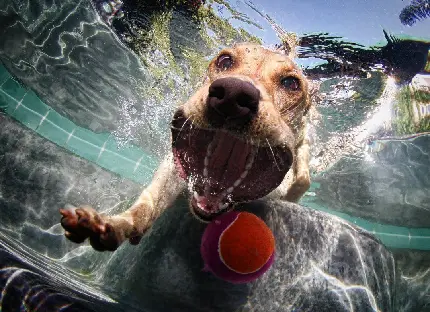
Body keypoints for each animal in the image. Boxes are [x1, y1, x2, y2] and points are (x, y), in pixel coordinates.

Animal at [58, 43, 310, 251]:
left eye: (291, 83)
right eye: (225, 60)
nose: (233, 94)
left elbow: (300, 181)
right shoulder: (172, 169)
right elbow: (145, 206)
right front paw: (113, 225)